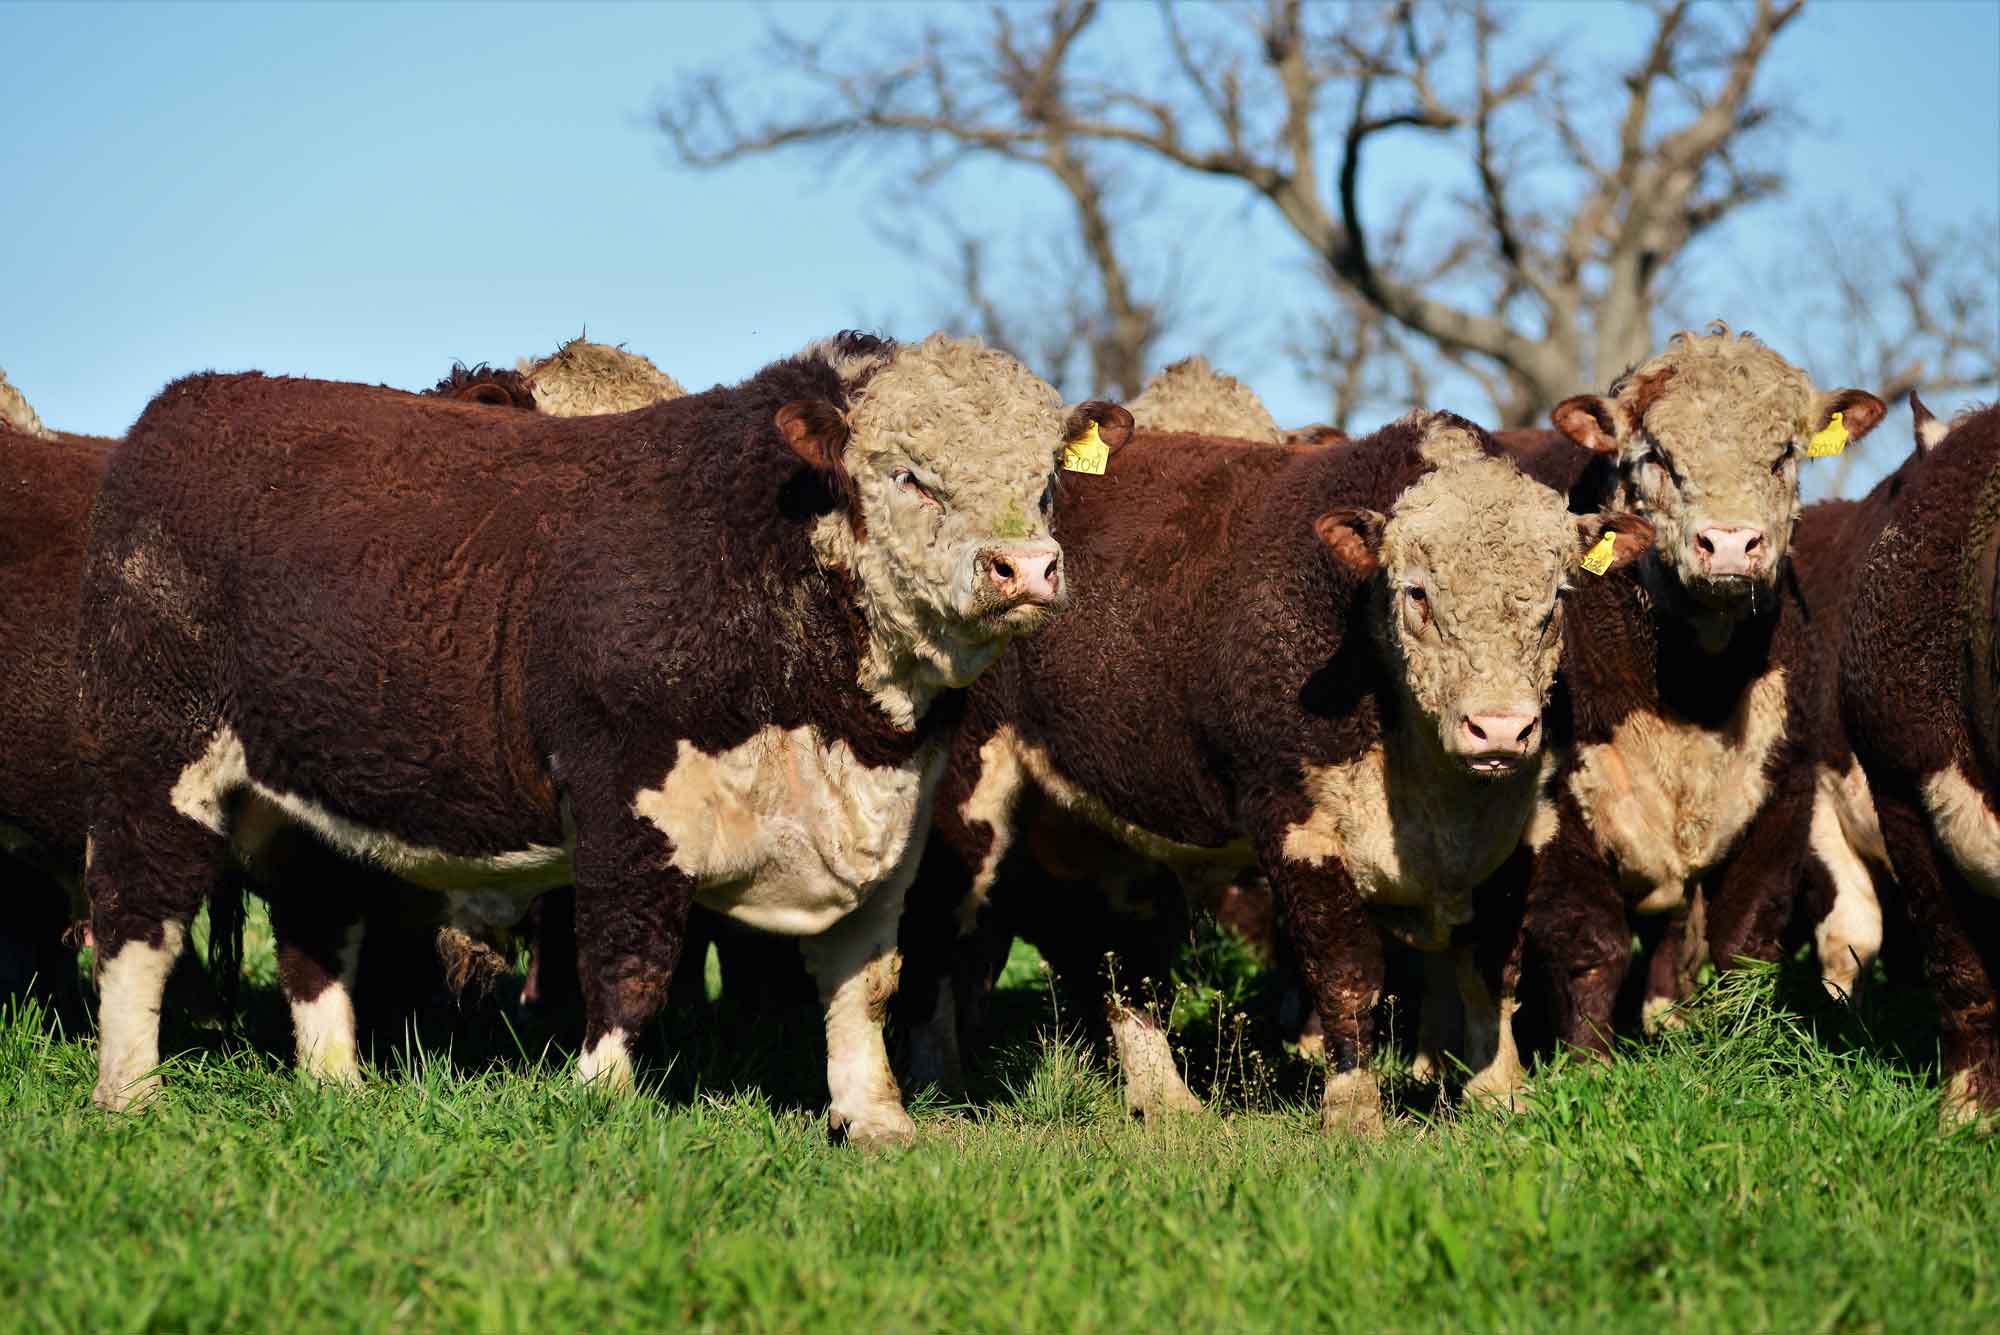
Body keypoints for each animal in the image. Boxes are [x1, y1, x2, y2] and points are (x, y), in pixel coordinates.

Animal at [82, 333, 1128, 1151]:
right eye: (910, 474)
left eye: (1045, 484)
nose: (1026, 567)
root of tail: (187, 403)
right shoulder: (627, 797)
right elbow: (629, 962)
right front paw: (600, 1099)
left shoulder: (892, 824)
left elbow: (866, 978)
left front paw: (876, 1118)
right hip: (154, 760)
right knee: (138, 922)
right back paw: (130, 1095)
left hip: (308, 800)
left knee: (313, 926)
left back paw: (339, 1082)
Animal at [900, 411, 1648, 1135]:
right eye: (1418, 594)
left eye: (1556, 599)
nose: (1498, 728)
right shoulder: (1295, 821)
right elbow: (1347, 972)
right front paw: (1353, 1113)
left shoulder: (1524, 824)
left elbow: (1494, 964)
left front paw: (1501, 1094)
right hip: (964, 794)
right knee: (937, 927)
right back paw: (937, 1084)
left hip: (1100, 824)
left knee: (1119, 955)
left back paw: (1167, 1101)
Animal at [1520, 325, 1880, 1055]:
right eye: (1655, 456)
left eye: (1784, 453)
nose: (1732, 543)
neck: (1692, 697)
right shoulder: (1560, 799)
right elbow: (1590, 943)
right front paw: (1588, 1064)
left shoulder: (1782, 797)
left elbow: (1743, 941)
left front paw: (1743, 1043)